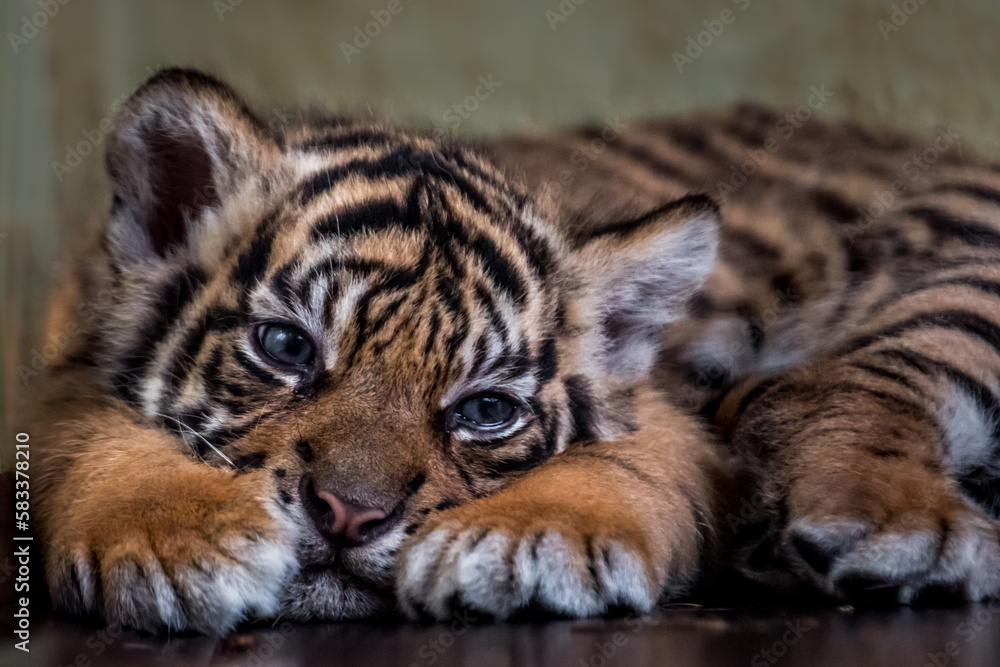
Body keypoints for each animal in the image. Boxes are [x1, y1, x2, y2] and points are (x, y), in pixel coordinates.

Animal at [23, 68, 1000, 635]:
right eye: (286, 345)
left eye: (485, 410)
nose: (347, 516)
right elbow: (85, 433)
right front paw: (179, 539)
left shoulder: (670, 412)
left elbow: (624, 464)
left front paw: (529, 539)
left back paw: (889, 528)